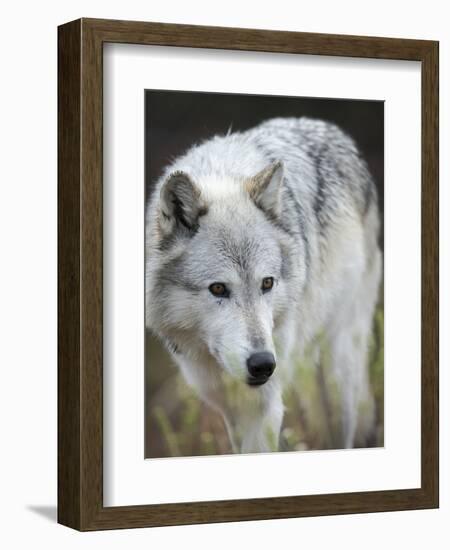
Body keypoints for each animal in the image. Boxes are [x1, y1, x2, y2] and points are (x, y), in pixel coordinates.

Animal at [146, 115, 382, 452]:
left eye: (267, 283)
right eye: (218, 288)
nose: (263, 364)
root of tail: (330, 128)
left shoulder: (263, 407)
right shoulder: (230, 408)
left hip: (338, 375)